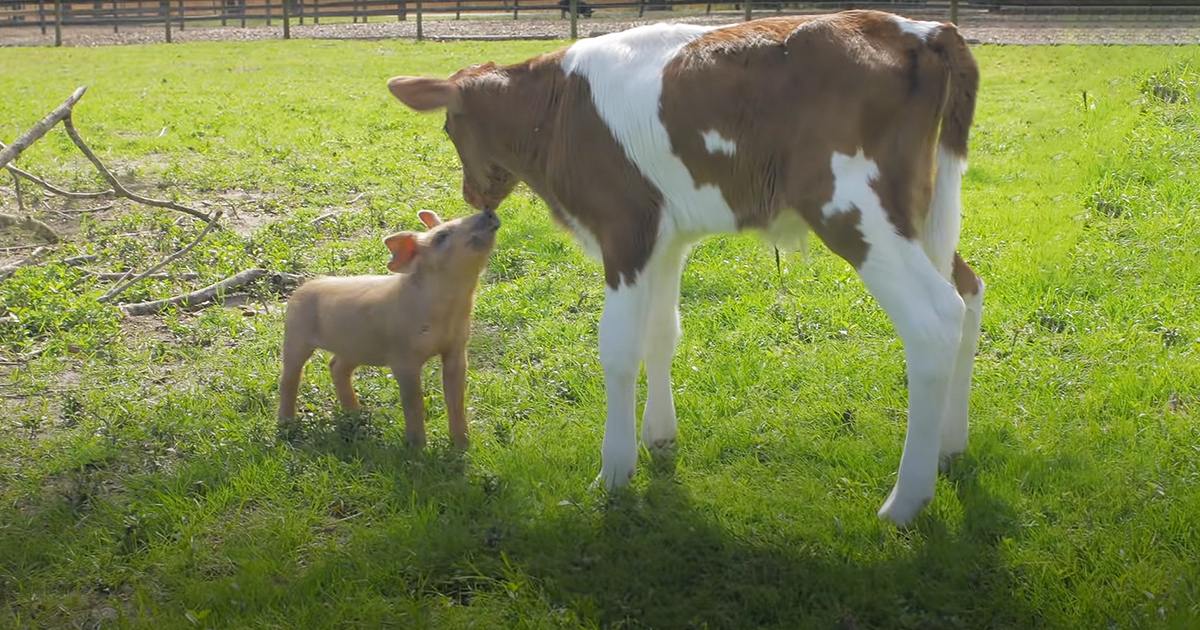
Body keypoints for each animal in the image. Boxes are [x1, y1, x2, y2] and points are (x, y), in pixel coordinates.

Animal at [277, 208, 500, 447]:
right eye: (441, 236)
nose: (488, 212)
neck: (450, 306)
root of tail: (302, 286)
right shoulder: (402, 357)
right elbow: (413, 402)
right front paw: (417, 447)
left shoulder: (457, 348)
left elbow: (456, 398)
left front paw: (462, 446)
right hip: (296, 333)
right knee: (289, 376)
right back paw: (286, 425)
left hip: (354, 347)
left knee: (336, 366)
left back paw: (357, 415)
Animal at [386, 10, 982, 526]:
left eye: (449, 129)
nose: (473, 194)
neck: (555, 112)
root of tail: (920, 28)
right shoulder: (665, 238)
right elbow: (662, 332)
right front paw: (660, 437)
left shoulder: (624, 230)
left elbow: (619, 347)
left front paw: (614, 468)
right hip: (921, 209)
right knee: (969, 290)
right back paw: (952, 445)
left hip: (854, 209)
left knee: (934, 319)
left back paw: (906, 500)